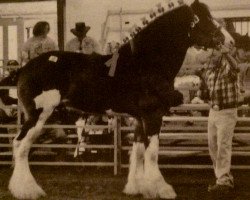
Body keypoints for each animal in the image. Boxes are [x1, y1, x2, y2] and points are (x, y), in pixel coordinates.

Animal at [3, 0, 234, 199]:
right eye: (206, 19)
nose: (230, 42)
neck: (144, 63)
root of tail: (24, 69)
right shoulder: (153, 116)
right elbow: (152, 153)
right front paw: (162, 189)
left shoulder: (140, 119)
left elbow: (138, 152)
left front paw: (138, 187)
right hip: (39, 115)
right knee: (21, 145)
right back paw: (28, 190)